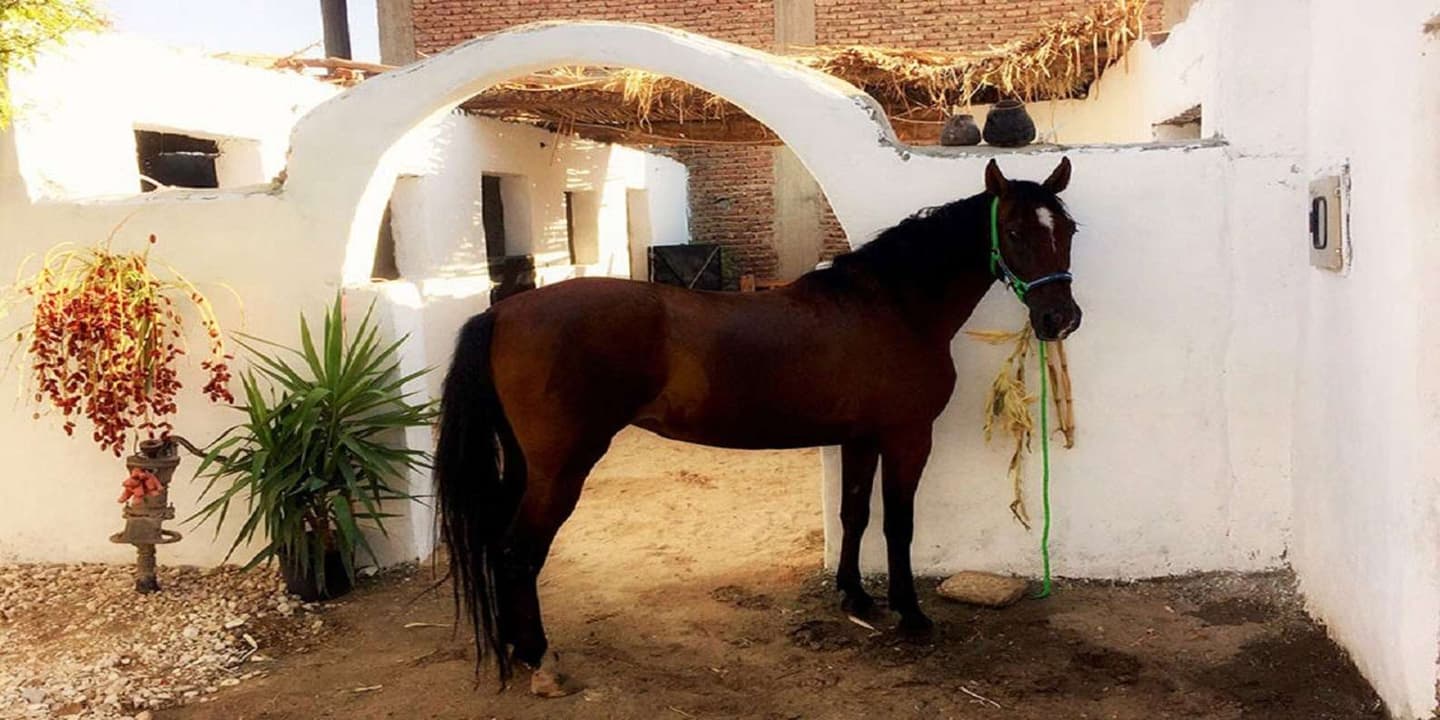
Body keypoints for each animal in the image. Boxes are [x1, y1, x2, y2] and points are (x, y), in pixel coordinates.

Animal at [434, 157, 1082, 696]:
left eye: (1068, 231)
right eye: (1016, 232)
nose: (1060, 318)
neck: (892, 307)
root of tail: (503, 311)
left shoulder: (860, 438)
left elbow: (854, 513)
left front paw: (856, 597)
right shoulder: (905, 437)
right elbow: (898, 524)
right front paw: (911, 613)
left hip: (527, 466)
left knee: (499, 546)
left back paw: (516, 649)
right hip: (561, 468)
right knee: (518, 552)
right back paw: (540, 661)